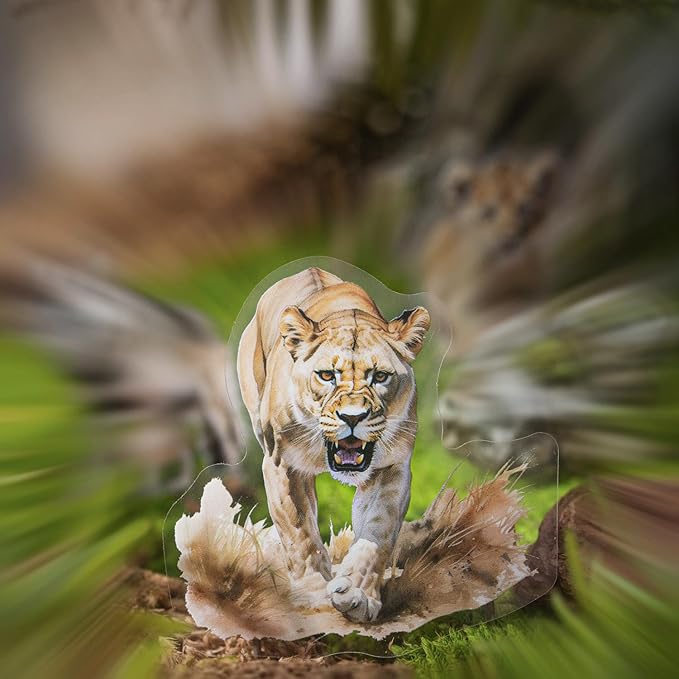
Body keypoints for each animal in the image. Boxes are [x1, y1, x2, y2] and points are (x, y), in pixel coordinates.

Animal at [237, 267, 430, 623]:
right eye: (327, 375)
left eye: (380, 376)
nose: (352, 417)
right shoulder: (282, 465)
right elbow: (299, 534)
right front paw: (313, 593)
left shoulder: (392, 467)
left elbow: (377, 532)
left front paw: (359, 593)